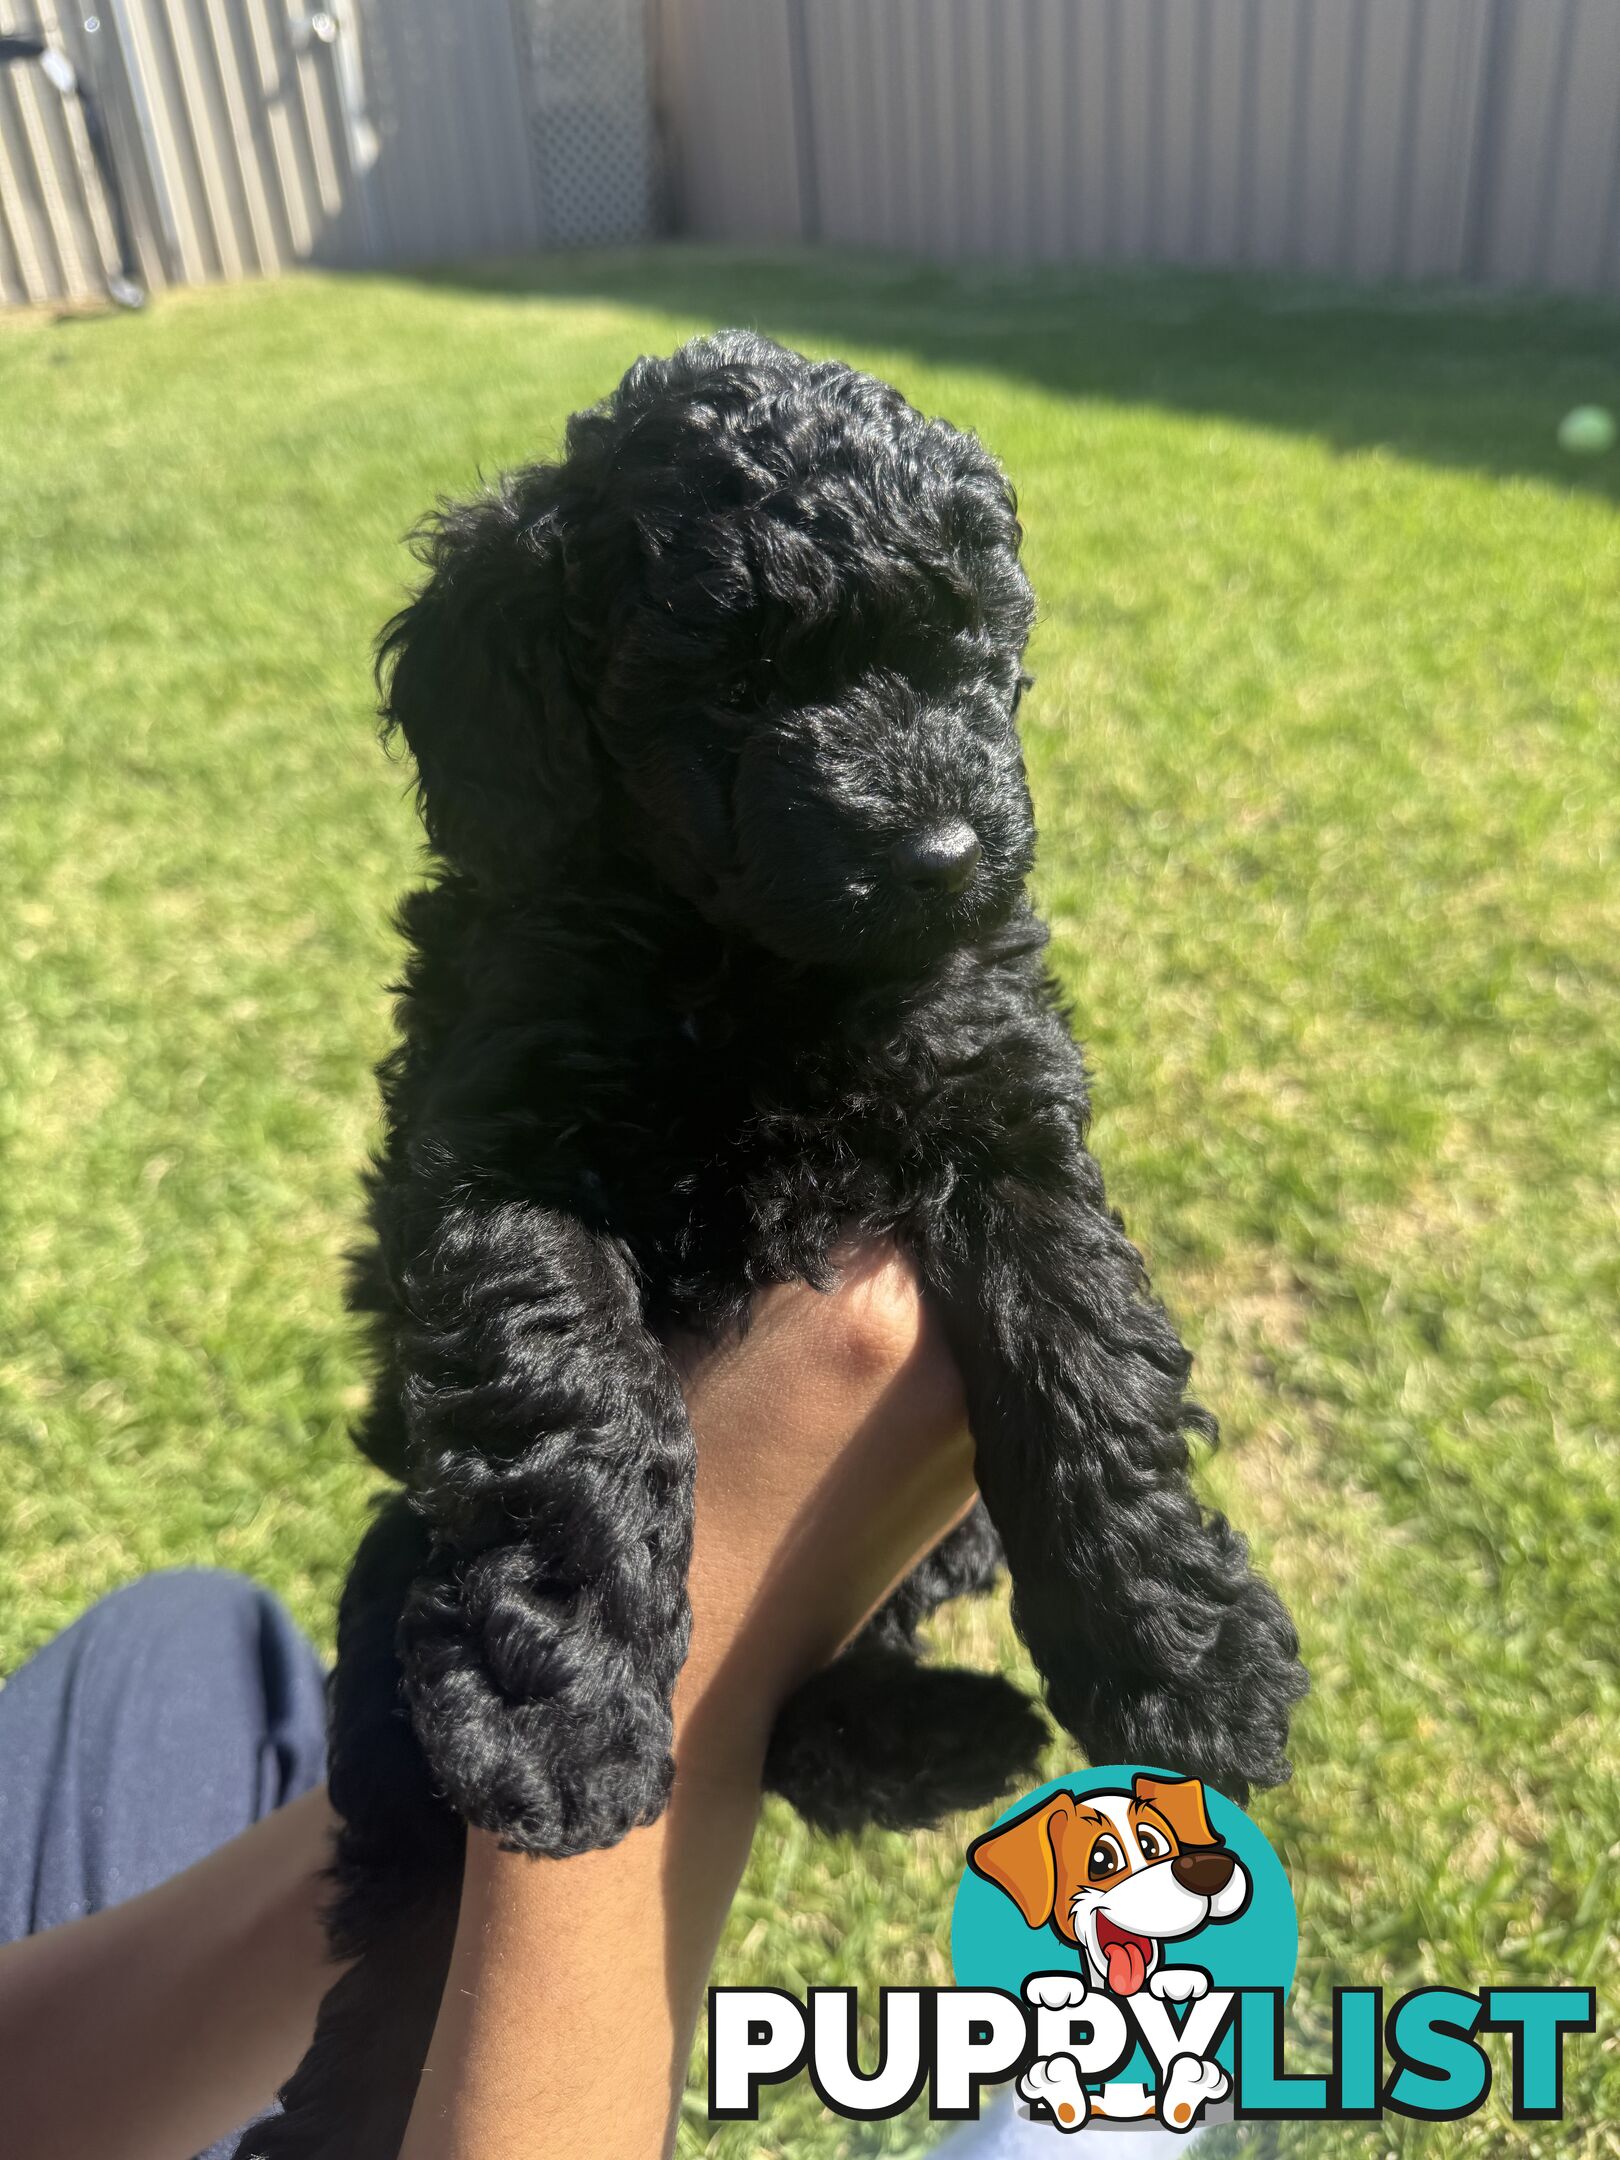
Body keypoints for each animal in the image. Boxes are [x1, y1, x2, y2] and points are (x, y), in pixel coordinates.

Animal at [257, 328, 1321, 2151]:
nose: (943, 854)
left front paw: (1186, 1655)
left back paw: (954, 1729)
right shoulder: (494, 1149)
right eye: (739, 680)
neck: (754, 970)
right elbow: (567, 1389)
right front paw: (561, 1710)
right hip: (395, 1576)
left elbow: (1090, 1364)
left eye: (969, 655)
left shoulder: (1001, 1107)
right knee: (397, 1864)